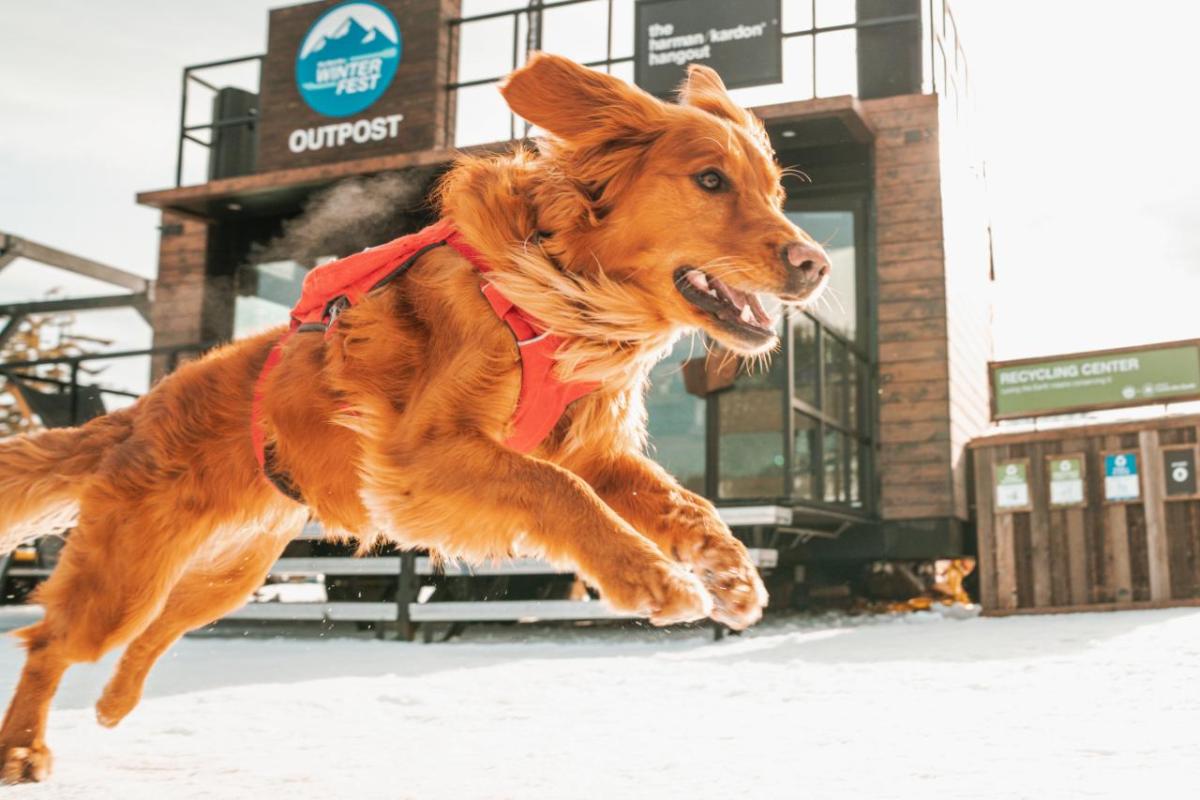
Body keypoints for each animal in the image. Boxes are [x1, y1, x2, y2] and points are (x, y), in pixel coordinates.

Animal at [0, 51, 830, 782]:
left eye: (776, 193)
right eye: (710, 180)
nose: (816, 263)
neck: (560, 292)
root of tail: (139, 412)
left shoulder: (591, 452)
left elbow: (683, 503)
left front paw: (728, 572)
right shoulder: (420, 457)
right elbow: (557, 492)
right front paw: (651, 578)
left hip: (225, 575)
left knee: (153, 632)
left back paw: (113, 703)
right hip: (126, 574)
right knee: (51, 640)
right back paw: (23, 751)